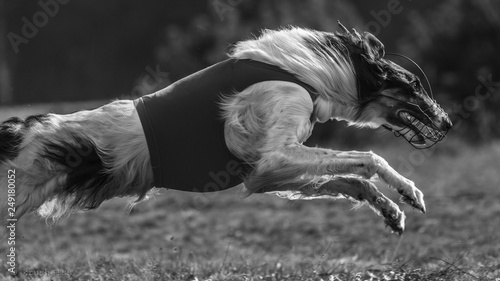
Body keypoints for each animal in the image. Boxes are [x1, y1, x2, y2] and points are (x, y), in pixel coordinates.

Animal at [0, 23, 452, 234]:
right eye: (413, 84)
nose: (447, 122)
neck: (310, 74)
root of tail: (21, 131)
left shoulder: (263, 176)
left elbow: (350, 180)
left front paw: (391, 211)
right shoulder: (274, 156)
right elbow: (367, 158)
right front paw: (410, 191)